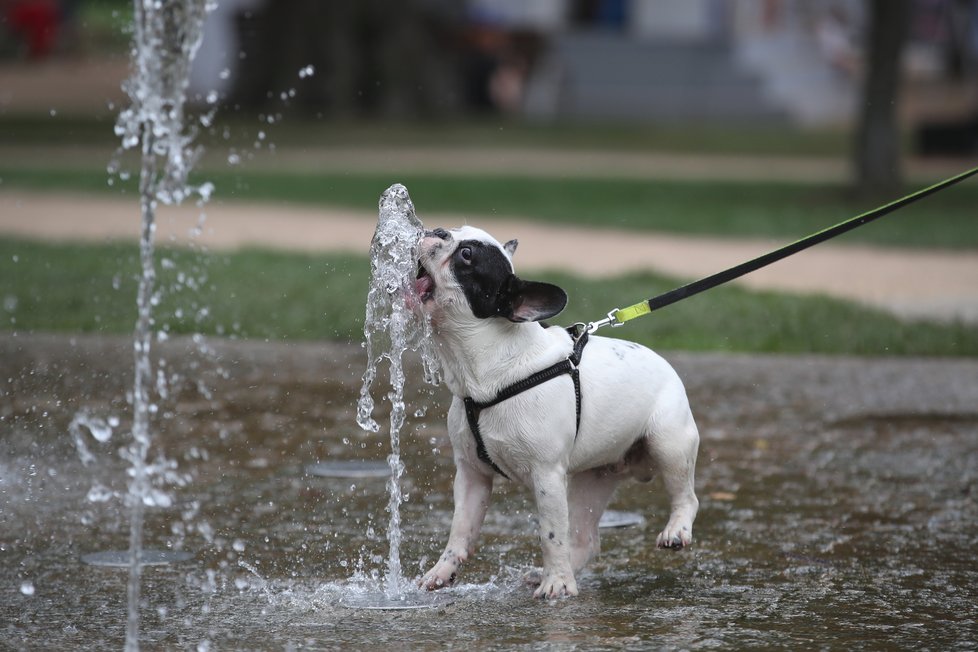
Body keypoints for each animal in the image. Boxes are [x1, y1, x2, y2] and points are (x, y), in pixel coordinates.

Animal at [408, 227, 696, 600]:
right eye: (451, 232)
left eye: (467, 255)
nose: (436, 230)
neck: (484, 369)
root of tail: (666, 364)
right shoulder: (472, 475)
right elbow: (460, 530)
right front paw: (441, 572)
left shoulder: (546, 475)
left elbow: (551, 533)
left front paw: (557, 582)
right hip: (594, 477)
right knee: (586, 538)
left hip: (669, 443)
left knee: (686, 496)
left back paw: (676, 531)